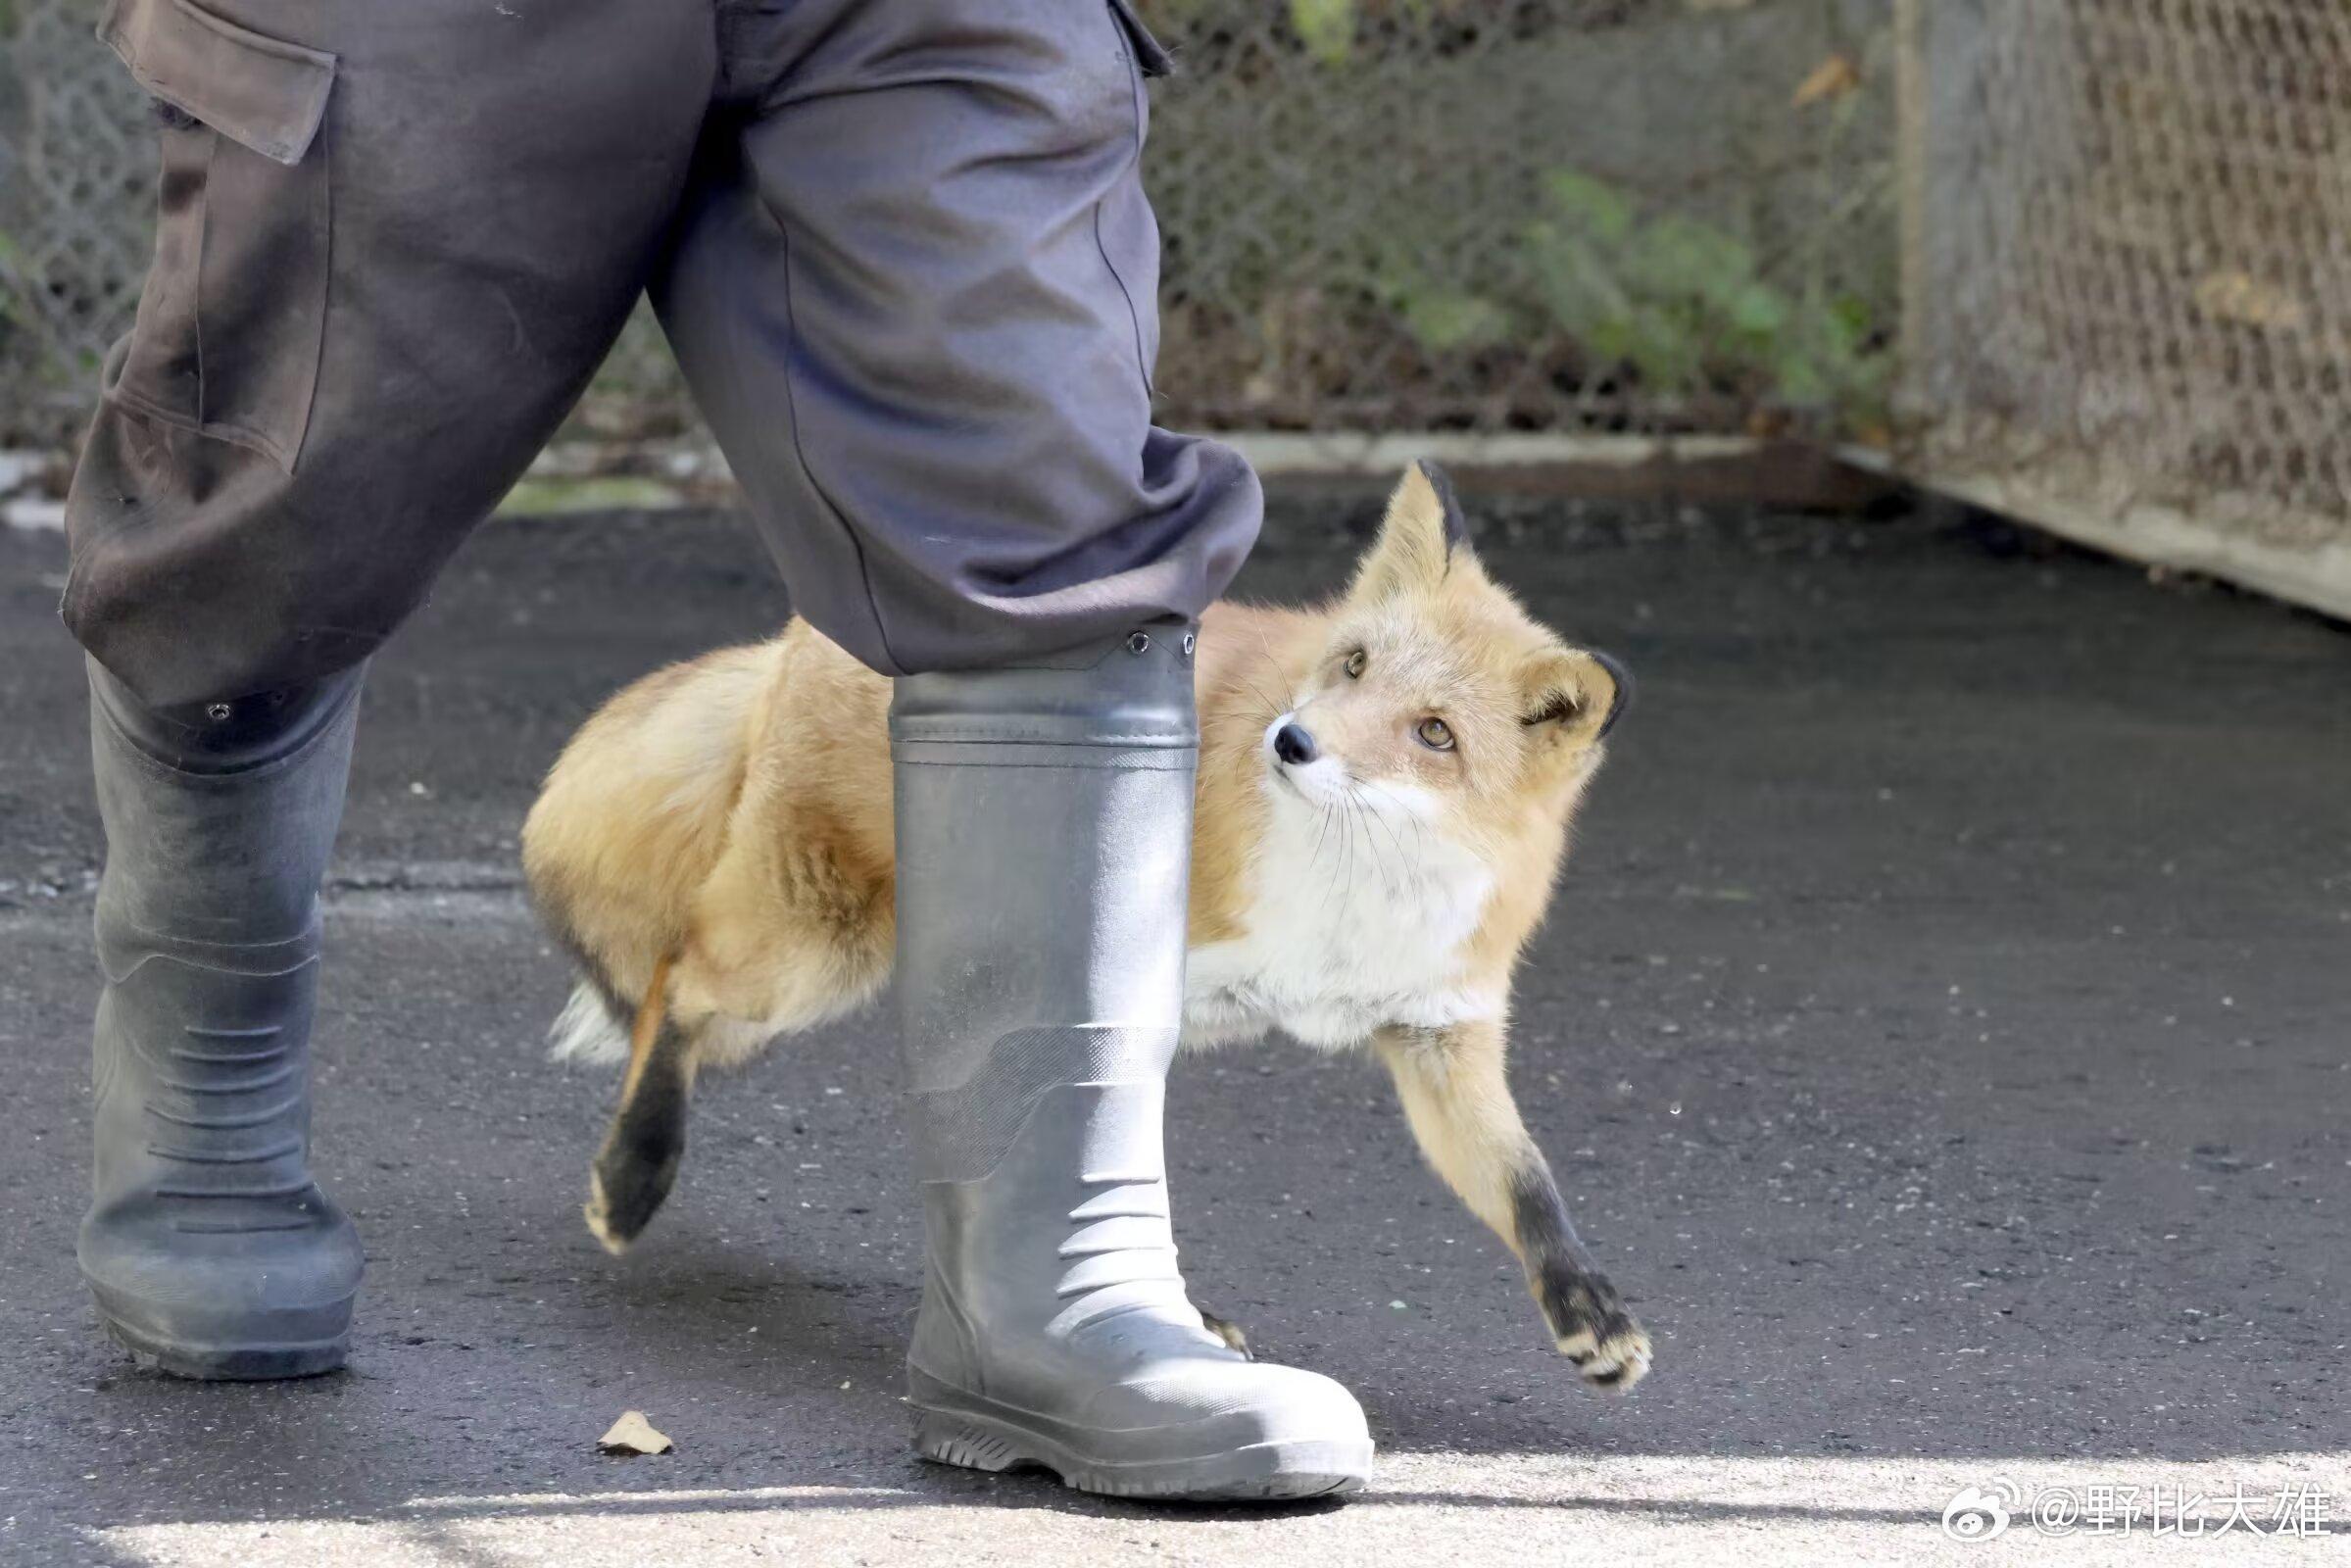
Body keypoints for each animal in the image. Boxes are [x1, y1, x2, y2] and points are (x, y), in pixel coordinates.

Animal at [519, 461, 1654, 1392]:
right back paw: (633, 1174)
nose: (1291, 743)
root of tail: (808, 630)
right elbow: (1113, 1166)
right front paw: (1159, 1314)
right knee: (673, 983)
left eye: (1434, 734)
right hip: (805, 957)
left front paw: (1589, 1311)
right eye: (1354, 665)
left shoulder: (1436, 1028)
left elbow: (1523, 1179)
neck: (1345, 897)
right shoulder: (1135, 993)